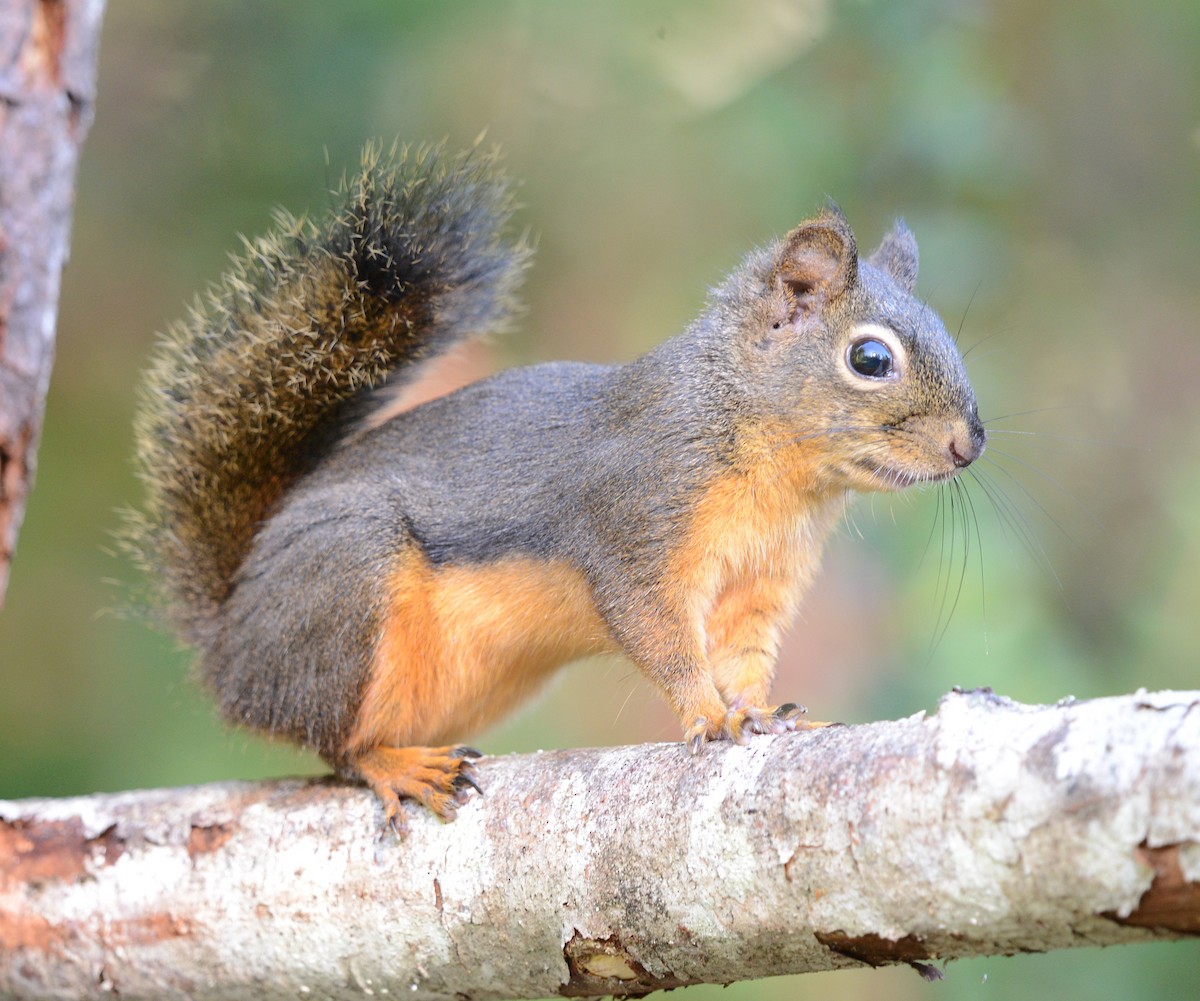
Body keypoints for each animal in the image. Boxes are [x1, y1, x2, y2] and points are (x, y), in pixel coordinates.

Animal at [127, 141, 985, 832]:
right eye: (869, 359)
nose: (970, 444)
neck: (772, 469)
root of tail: (230, 641)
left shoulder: (761, 581)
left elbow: (743, 653)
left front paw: (759, 711)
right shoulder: (634, 525)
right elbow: (660, 635)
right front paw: (708, 714)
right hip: (343, 591)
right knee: (336, 741)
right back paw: (396, 764)